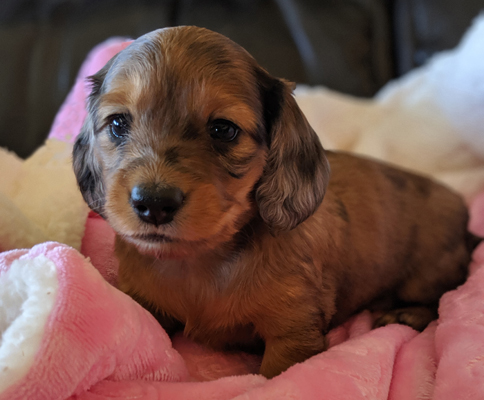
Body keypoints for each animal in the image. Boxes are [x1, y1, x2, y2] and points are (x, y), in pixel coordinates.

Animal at [73, 25, 480, 378]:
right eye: (118, 124)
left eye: (223, 129)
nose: (153, 203)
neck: (201, 262)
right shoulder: (142, 299)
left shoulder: (293, 331)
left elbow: (276, 375)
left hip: (427, 271)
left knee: (438, 296)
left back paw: (406, 315)